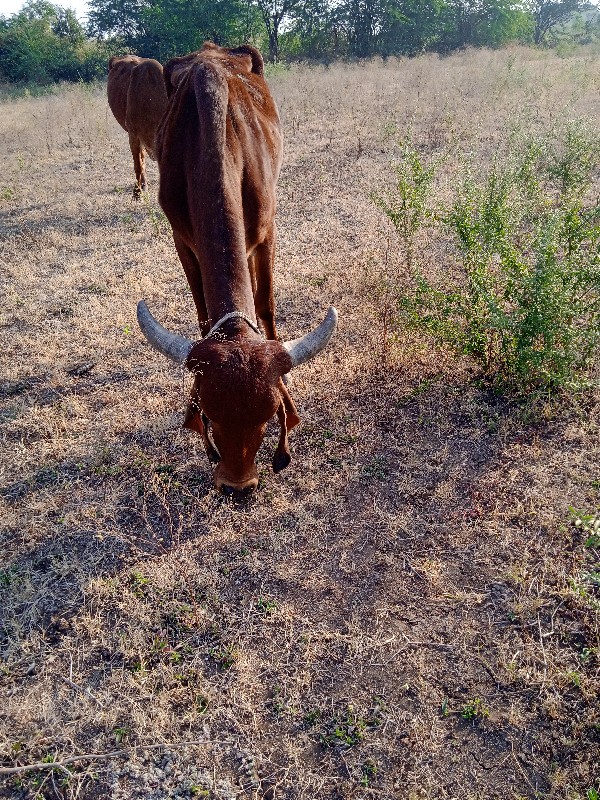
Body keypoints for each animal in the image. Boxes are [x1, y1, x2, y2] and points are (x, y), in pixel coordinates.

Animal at [135, 43, 338, 496]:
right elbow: (201, 312)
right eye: (209, 415)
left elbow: (266, 305)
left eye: (268, 418)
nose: (237, 487)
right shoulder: (182, 241)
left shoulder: (266, 233)